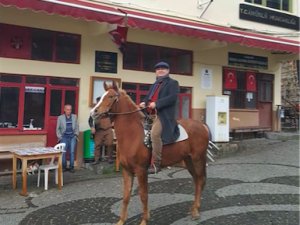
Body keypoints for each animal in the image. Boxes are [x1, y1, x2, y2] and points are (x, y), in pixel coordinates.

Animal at [90, 82, 210, 225]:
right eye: (100, 97)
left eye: (111, 96)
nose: (93, 112)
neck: (132, 134)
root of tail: (202, 125)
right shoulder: (127, 171)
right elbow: (126, 196)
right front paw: (121, 220)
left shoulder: (141, 170)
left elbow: (143, 195)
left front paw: (144, 220)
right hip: (188, 160)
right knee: (197, 181)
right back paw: (193, 209)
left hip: (198, 159)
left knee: (201, 180)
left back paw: (196, 211)